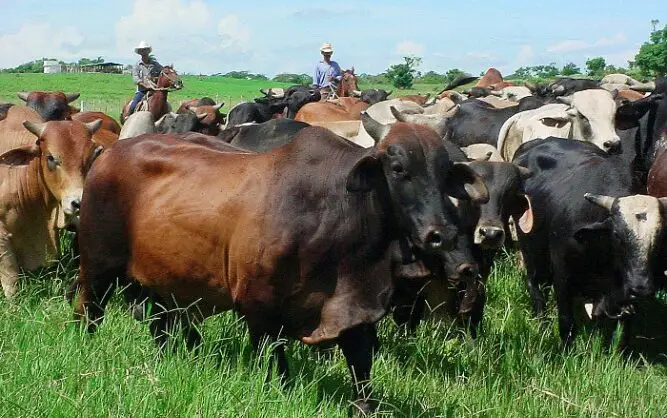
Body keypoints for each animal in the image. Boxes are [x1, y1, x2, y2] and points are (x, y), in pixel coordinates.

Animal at [75, 121, 488, 414]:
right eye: (399, 168)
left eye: (444, 173)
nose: (439, 235)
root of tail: (109, 153)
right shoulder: (258, 308)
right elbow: (274, 363)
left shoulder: (355, 310)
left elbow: (361, 368)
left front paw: (363, 407)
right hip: (96, 266)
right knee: (88, 309)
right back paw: (86, 345)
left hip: (166, 284)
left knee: (162, 324)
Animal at [512, 139, 664, 348]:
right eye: (617, 235)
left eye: (659, 235)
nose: (641, 287)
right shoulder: (562, 275)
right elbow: (567, 322)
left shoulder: (626, 296)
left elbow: (624, 332)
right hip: (532, 250)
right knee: (535, 285)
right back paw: (541, 322)